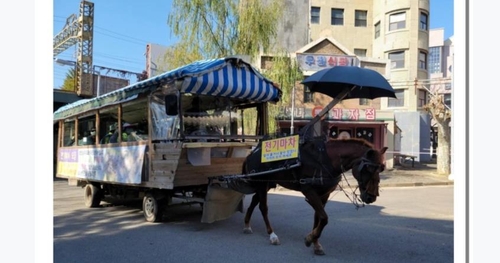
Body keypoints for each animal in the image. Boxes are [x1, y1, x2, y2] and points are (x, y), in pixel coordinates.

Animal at [238, 137, 386, 256]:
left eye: (381, 169)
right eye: (369, 168)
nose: (371, 197)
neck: (327, 160)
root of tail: (251, 154)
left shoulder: (324, 194)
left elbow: (318, 218)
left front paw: (315, 243)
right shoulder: (308, 190)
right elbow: (324, 218)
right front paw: (309, 239)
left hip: (266, 183)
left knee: (254, 200)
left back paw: (246, 224)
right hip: (262, 183)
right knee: (263, 207)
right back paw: (272, 234)